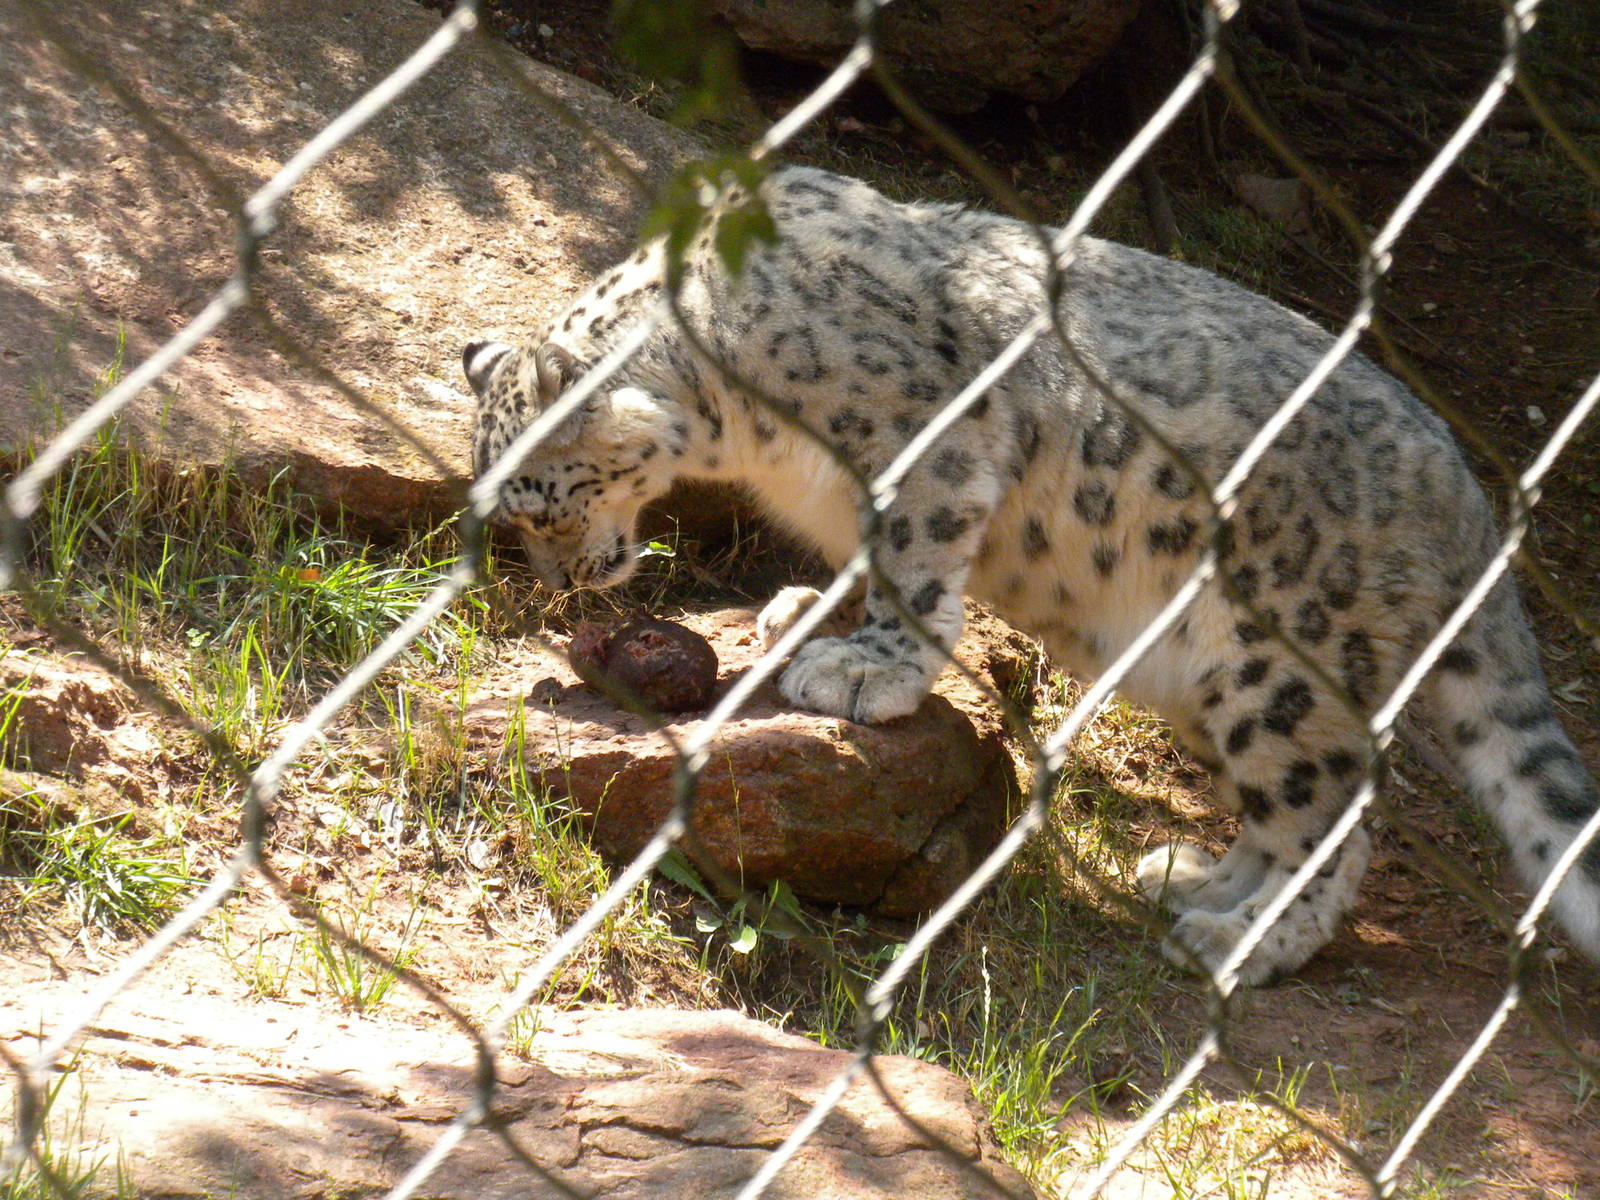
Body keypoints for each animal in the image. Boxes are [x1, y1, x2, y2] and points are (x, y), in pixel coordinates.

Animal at [464, 164, 1600, 985]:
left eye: (545, 504)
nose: (561, 586)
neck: (743, 428)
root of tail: (1468, 506)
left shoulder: (927, 447)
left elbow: (913, 562)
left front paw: (867, 668)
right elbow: (853, 561)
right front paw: (803, 614)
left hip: (1281, 663)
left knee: (1338, 819)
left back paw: (1241, 943)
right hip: (1206, 683)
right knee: (1286, 812)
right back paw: (1194, 880)